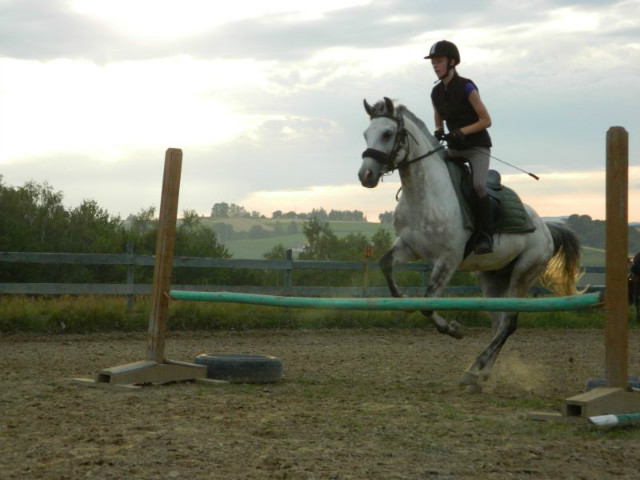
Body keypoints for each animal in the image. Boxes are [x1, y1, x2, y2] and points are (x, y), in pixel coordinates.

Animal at [358, 96, 584, 390]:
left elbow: (428, 303)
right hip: (492, 277)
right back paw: (481, 372)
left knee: (509, 323)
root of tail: (547, 228)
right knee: (499, 322)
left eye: (386, 134)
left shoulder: (448, 260)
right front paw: (403, 302)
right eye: (366, 134)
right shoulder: (409, 246)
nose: (365, 175)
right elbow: (386, 265)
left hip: (524, 272)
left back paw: (475, 368)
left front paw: (453, 329)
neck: (424, 194)